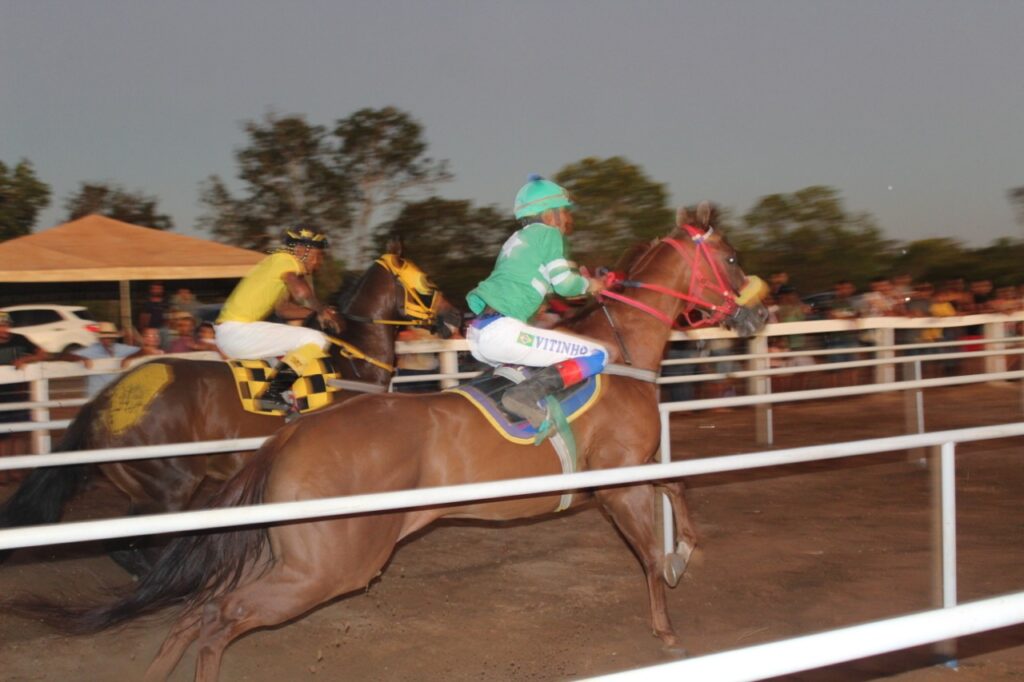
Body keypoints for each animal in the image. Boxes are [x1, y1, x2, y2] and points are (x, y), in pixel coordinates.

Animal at [0, 244, 460, 573]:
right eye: (427, 282)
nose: (457, 316)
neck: (351, 362)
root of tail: (106, 399)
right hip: (169, 484)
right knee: (126, 544)